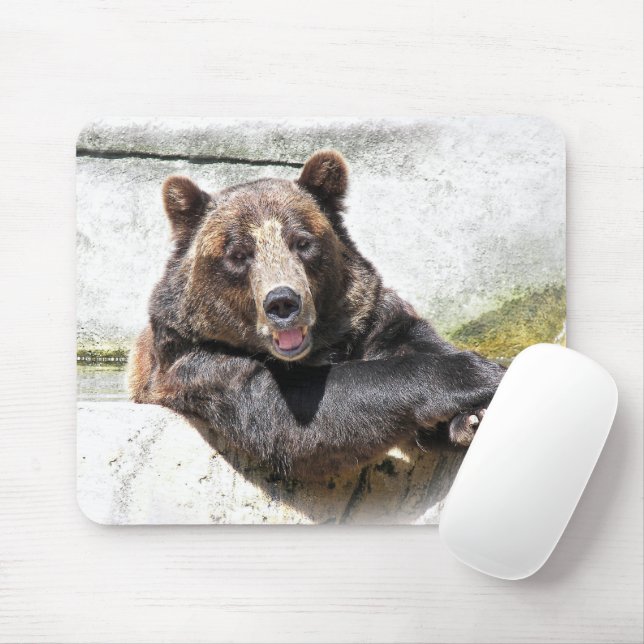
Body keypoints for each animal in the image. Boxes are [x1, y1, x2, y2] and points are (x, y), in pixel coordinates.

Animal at [129, 150, 506, 480]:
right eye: (237, 254)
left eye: (302, 241)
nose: (282, 302)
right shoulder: (202, 364)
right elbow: (295, 417)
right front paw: (481, 372)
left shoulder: (371, 319)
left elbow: (413, 340)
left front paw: (472, 415)